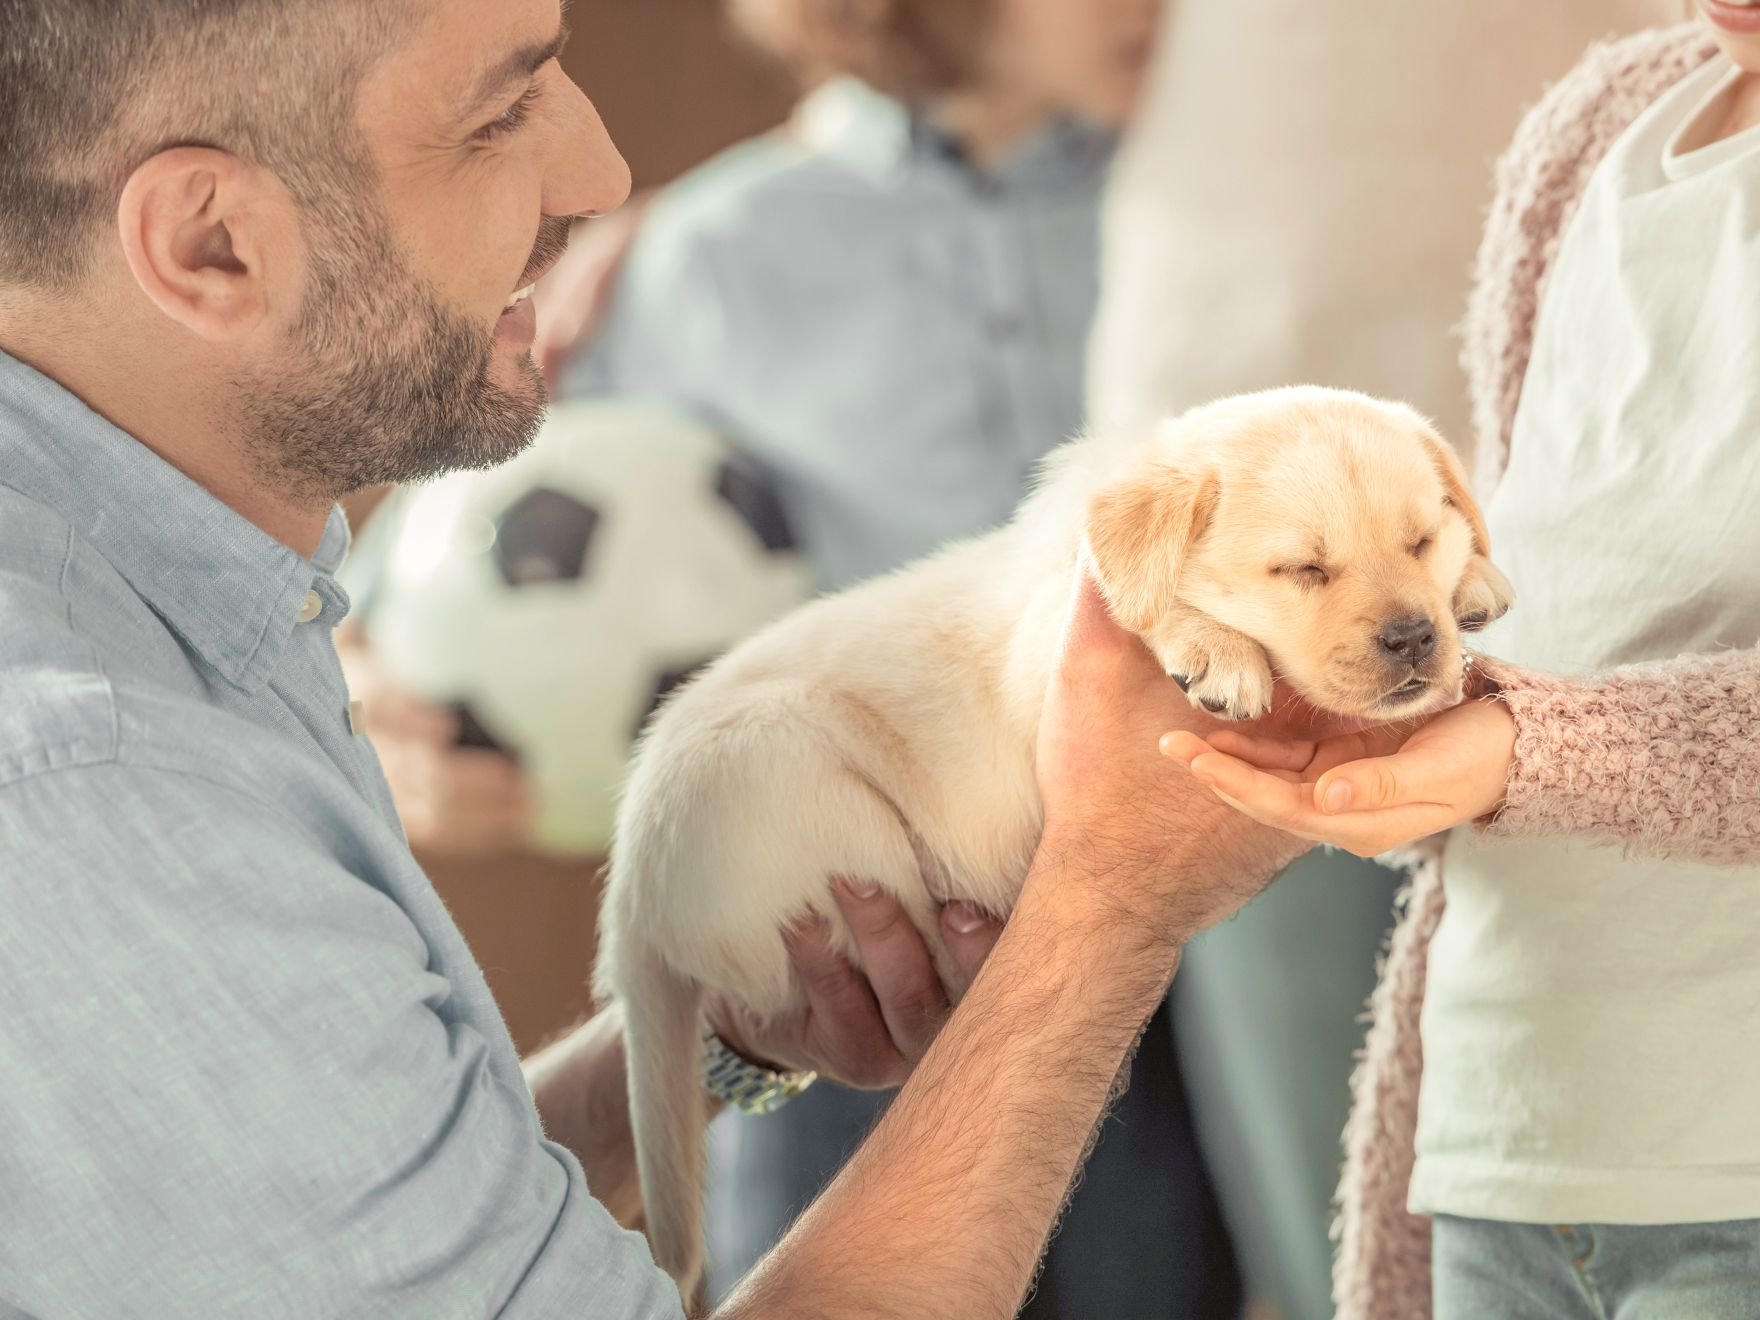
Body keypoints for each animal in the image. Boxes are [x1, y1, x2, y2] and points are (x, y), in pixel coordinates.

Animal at [594, 385, 1513, 1302]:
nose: (1414, 638)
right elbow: (1146, 610)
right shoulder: (1052, 656)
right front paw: (1211, 647)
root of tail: (630, 899)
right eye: (1301, 570)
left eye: (1421, 541)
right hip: (795, 784)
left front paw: (1478, 582)